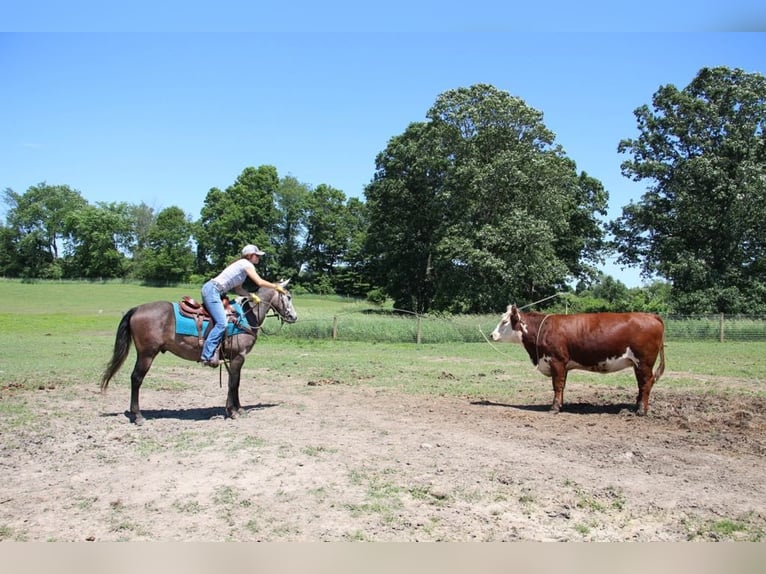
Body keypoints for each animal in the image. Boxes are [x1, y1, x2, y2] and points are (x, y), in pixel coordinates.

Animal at [100, 281, 297, 425]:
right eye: (288, 297)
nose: (293, 317)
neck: (246, 316)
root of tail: (136, 309)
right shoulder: (238, 357)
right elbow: (233, 383)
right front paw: (232, 412)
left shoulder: (234, 358)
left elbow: (235, 383)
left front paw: (237, 408)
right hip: (147, 354)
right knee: (136, 379)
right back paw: (138, 416)